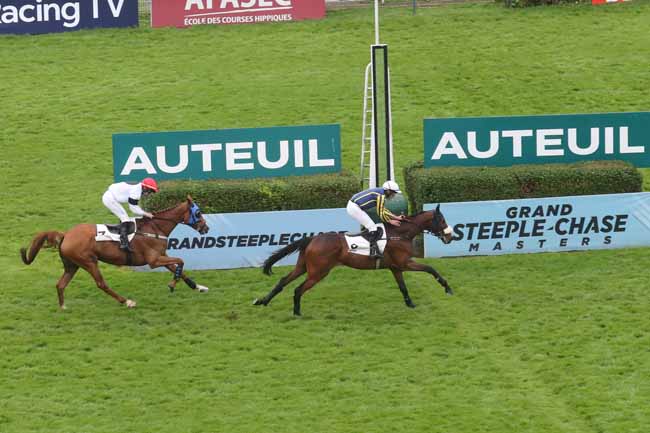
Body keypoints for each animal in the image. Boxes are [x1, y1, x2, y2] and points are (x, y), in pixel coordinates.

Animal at [20, 194, 208, 308]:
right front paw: (172, 284)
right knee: (101, 284)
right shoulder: (154, 261)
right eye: (198, 213)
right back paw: (127, 301)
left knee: (60, 284)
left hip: (72, 265)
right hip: (89, 262)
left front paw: (198, 286)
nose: (206, 228)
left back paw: (63, 307)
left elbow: (180, 268)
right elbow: (181, 262)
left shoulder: (161, 256)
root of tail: (66, 235)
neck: (156, 227)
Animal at [252, 204, 450, 316]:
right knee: (298, 289)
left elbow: (403, 287)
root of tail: (313, 239)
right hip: (318, 272)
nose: (450, 236)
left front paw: (410, 304)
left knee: (283, 281)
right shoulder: (405, 263)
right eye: (441, 220)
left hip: (304, 267)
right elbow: (430, 268)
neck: (399, 234)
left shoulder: (395, 267)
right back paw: (297, 312)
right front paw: (447, 288)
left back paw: (263, 301)